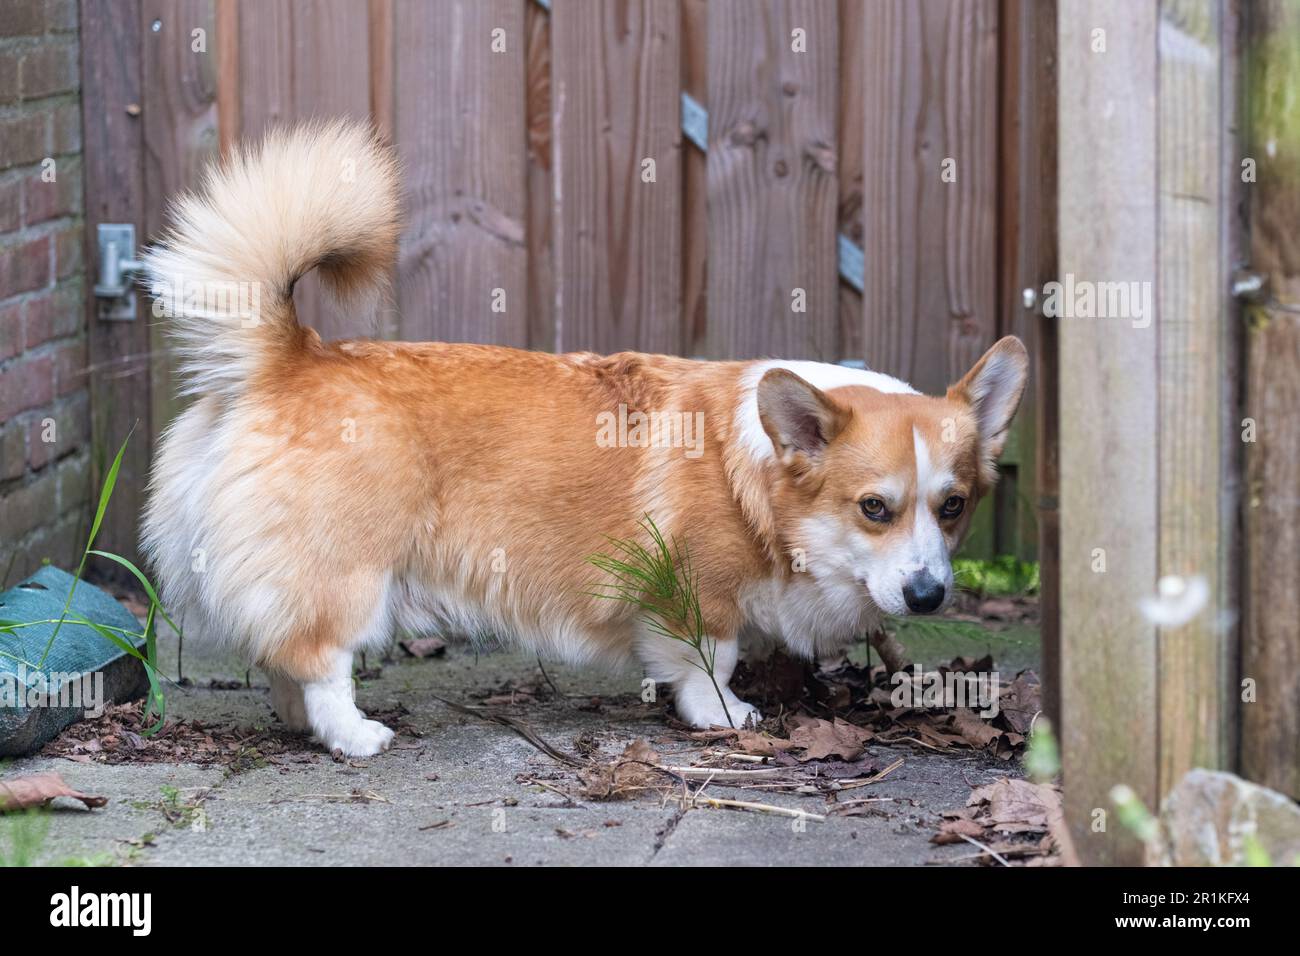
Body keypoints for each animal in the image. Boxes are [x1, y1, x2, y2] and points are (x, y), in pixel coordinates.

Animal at [139, 125, 1024, 754]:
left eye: (953, 507)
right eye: (875, 507)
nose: (929, 596)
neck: (758, 475)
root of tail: (292, 354)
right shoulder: (696, 595)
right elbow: (710, 661)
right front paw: (725, 716)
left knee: (281, 658)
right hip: (350, 575)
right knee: (320, 660)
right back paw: (355, 736)